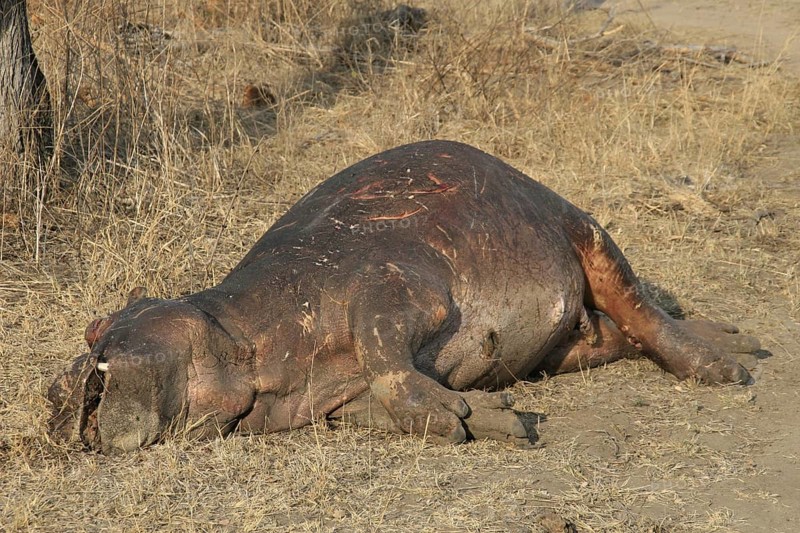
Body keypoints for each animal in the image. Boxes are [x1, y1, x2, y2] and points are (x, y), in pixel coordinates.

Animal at [48, 140, 760, 453]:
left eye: (98, 331)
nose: (57, 386)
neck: (246, 346)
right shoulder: (326, 399)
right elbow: (372, 405)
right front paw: (494, 417)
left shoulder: (394, 286)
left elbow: (384, 342)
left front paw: (464, 414)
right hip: (569, 345)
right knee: (623, 330)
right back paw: (739, 340)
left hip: (580, 226)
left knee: (640, 304)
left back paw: (733, 367)